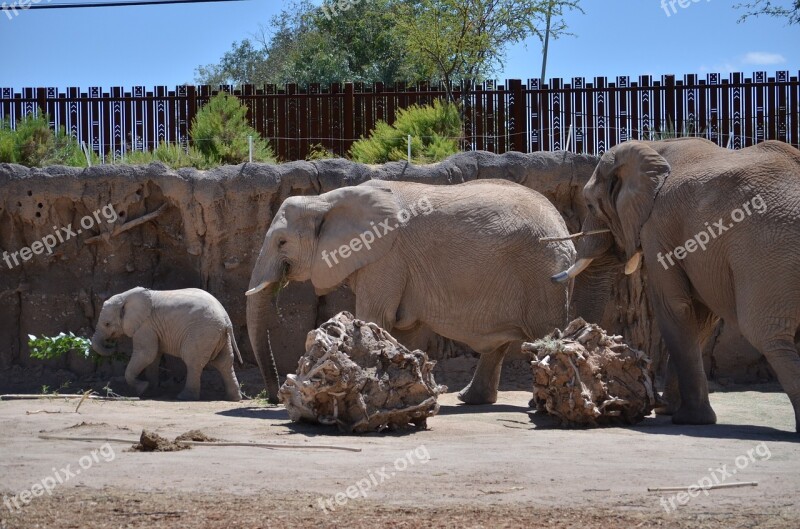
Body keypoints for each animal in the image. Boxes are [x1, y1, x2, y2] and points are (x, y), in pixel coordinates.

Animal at [92, 288, 242, 400]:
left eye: (107, 324)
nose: (112, 345)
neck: (125, 297)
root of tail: (226, 320)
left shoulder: (145, 325)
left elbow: (146, 354)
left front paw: (142, 388)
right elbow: (154, 357)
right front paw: (150, 391)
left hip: (203, 333)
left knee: (193, 362)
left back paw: (184, 397)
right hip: (219, 336)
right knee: (224, 363)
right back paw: (234, 398)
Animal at [244, 178, 576, 404]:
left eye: (282, 242)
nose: (271, 398)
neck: (325, 200)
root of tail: (563, 226)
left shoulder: (385, 257)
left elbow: (374, 318)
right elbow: (405, 330)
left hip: (541, 273)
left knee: (545, 334)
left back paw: (537, 403)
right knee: (501, 345)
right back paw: (470, 399)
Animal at [552, 138, 800, 432]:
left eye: (589, 206)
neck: (653, 145)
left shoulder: (658, 227)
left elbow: (673, 309)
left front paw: (689, 419)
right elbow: (699, 319)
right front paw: (666, 409)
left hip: (768, 248)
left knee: (766, 334)